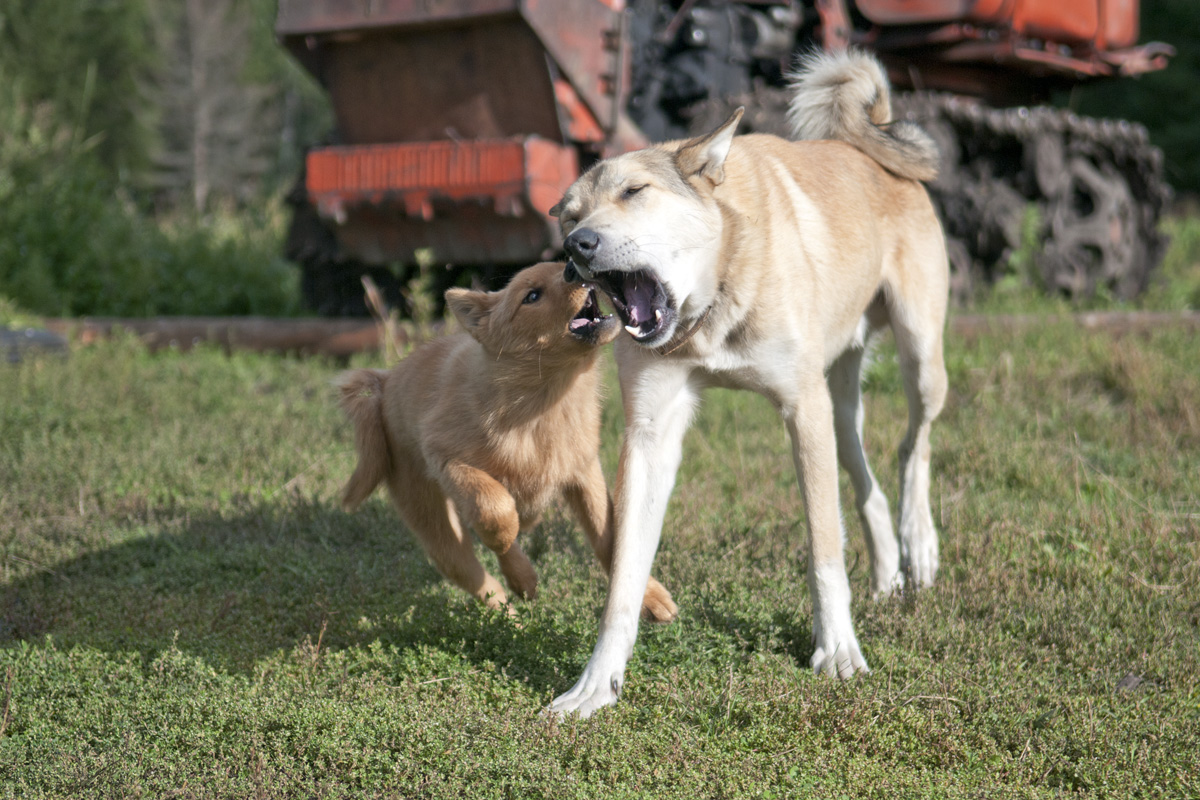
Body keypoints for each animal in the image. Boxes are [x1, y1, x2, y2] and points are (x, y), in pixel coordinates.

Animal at [338, 260, 676, 623]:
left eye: (560, 265)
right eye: (531, 296)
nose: (573, 267)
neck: (542, 403)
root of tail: (385, 383)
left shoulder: (584, 472)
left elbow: (611, 538)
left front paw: (651, 598)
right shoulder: (446, 457)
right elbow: (495, 511)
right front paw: (520, 570)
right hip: (434, 525)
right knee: (478, 577)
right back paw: (512, 612)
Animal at [544, 50, 945, 714]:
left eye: (634, 191)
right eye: (570, 216)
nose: (577, 247)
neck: (714, 302)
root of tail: (864, 144)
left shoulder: (801, 410)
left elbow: (823, 549)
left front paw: (838, 652)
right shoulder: (650, 435)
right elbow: (624, 576)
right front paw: (597, 683)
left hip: (919, 360)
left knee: (914, 445)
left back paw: (920, 545)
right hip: (839, 405)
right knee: (866, 474)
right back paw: (889, 569)